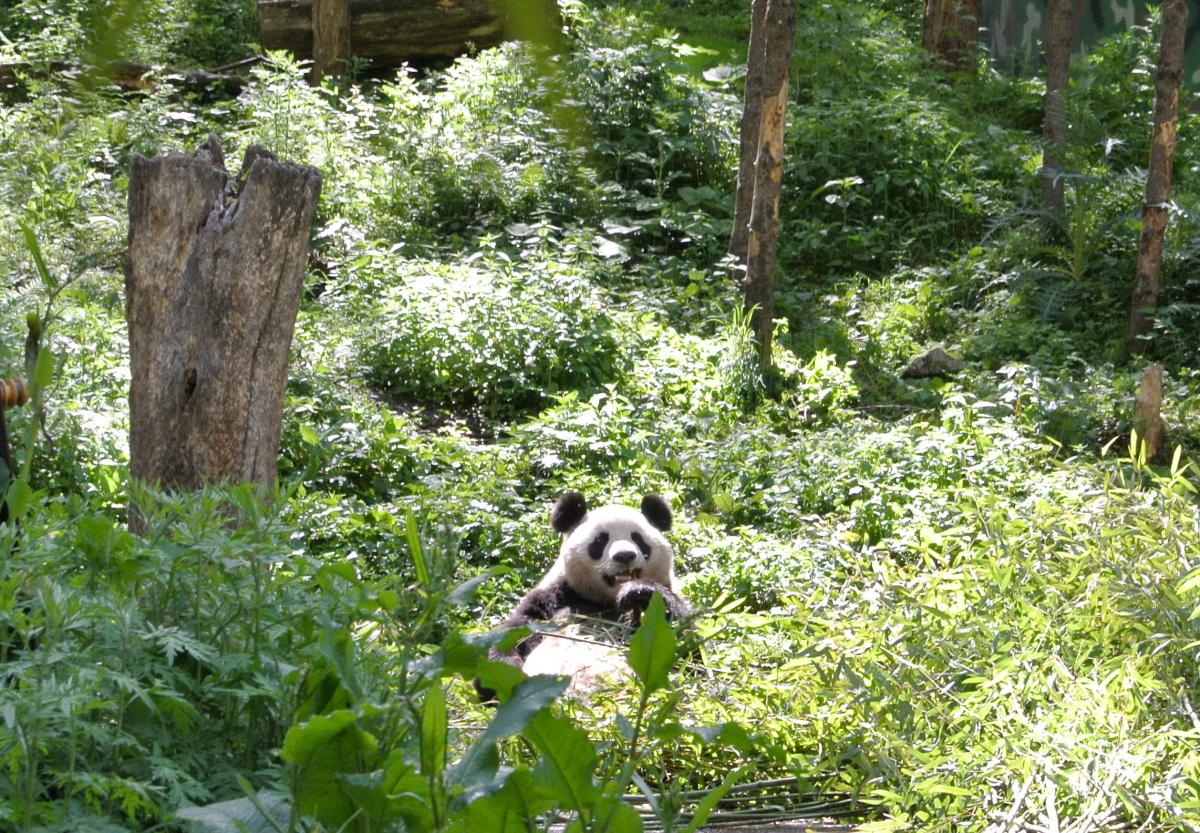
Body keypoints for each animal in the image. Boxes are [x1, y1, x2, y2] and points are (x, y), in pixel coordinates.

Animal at [475, 492, 686, 700]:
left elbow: (683, 640)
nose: (624, 555)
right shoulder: (554, 599)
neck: (606, 600)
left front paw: (639, 592)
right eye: (600, 541)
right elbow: (511, 637)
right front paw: (507, 675)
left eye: (638, 539)